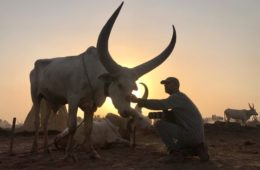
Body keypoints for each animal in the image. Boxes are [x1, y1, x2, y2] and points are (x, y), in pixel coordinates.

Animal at [27, 1, 177, 159]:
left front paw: (93, 153)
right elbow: (72, 126)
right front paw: (69, 155)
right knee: (37, 122)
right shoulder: (73, 100)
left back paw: (46, 149)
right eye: (119, 84)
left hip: (50, 100)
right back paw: (34, 149)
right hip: (36, 96)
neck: (93, 78)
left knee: (45, 122)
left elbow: (89, 128)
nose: (126, 112)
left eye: (132, 87)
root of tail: (36, 65)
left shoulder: (90, 106)